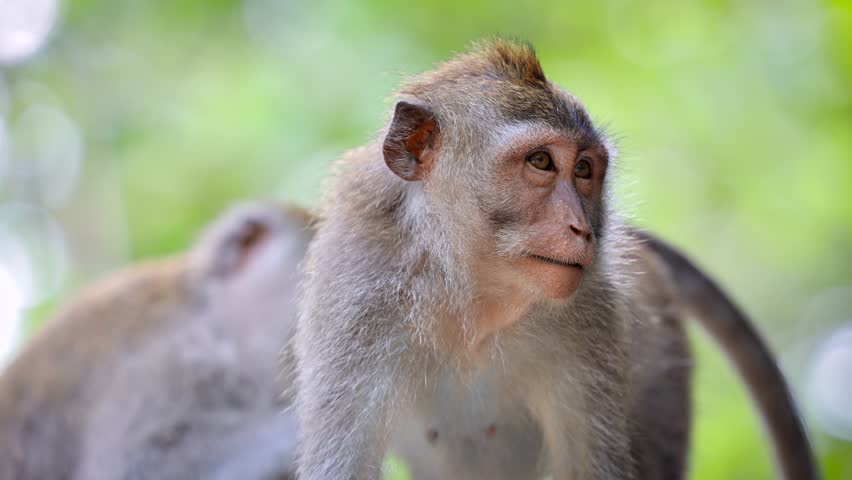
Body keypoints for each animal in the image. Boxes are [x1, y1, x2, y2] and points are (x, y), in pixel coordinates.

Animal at [292, 39, 818, 480]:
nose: (582, 228)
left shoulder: (590, 320)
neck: (467, 295)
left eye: (584, 169)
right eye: (541, 161)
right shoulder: (358, 292)